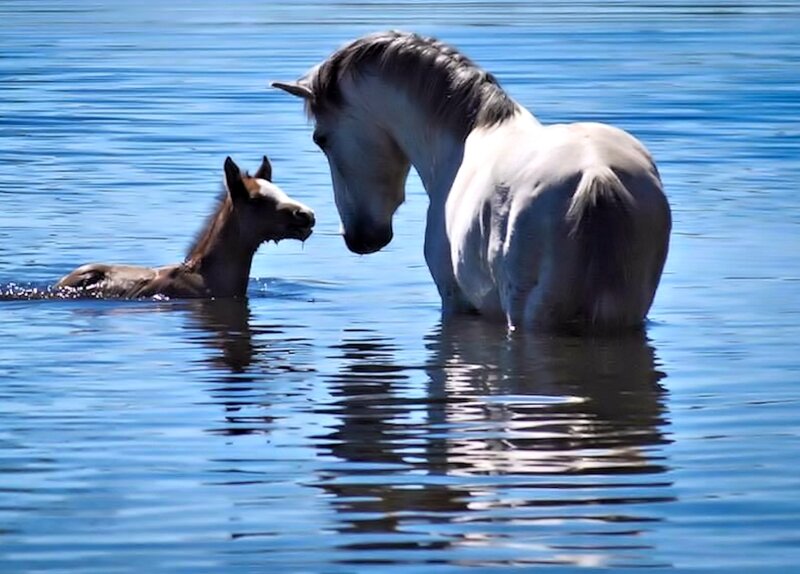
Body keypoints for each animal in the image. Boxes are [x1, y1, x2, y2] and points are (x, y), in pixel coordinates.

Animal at [273, 31, 671, 333]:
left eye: (321, 139)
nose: (359, 239)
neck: (465, 134)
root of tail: (596, 175)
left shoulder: (454, 299)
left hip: (532, 316)